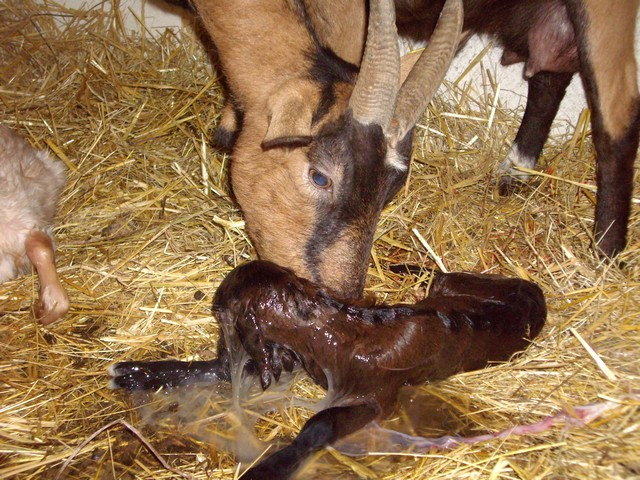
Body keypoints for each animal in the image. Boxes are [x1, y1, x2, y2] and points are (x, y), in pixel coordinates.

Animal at [109, 260, 544, 478]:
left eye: (223, 316)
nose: (222, 344)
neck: (336, 331)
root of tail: (534, 294)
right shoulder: (290, 359)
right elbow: (211, 370)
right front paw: (133, 372)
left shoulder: (377, 395)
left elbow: (320, 425)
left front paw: (272, 467)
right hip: (457, 288)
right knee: (441, 276)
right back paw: (402, 264)